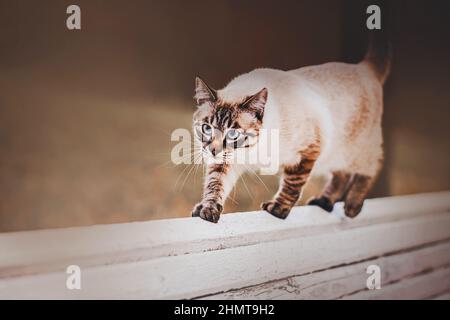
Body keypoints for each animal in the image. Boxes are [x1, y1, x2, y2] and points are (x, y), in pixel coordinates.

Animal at [190, 32, 390, 222]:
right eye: (207, 128)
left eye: (233, 133)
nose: (213, 150)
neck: (253, 150)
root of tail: (363, 67)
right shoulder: (225, 161)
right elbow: (215, 184)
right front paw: (207, 208)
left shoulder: (308, 151)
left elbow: (292, 185)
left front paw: (277, 209)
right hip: (335, 155)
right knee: (342, 174)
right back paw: (323, 202)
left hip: (355, 150)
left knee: (372, 166)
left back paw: (352, 206)